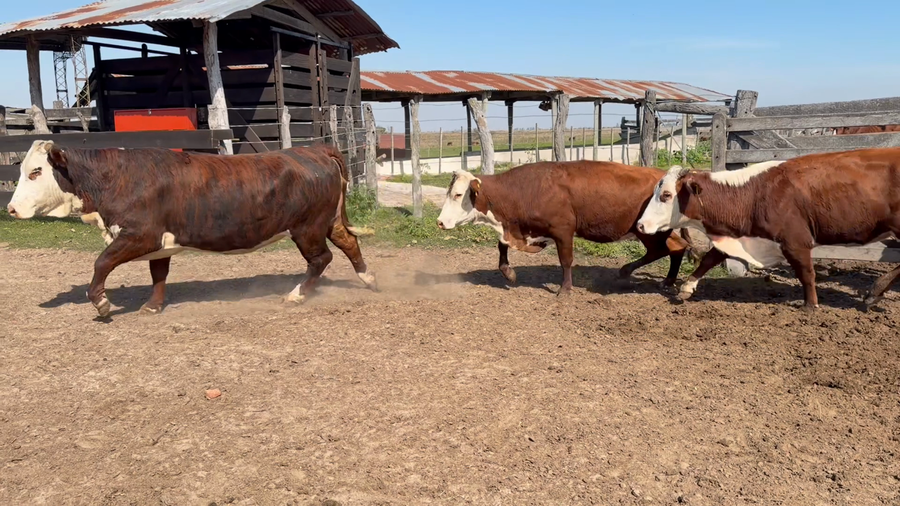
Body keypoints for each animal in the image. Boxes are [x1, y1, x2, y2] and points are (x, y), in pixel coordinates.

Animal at [6, 140, 378, 318]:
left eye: (37, 171)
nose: (11, 209)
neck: (117, 176)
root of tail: (316, 149)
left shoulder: (140, 234)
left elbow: (102, 262)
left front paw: (100, 302)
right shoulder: (160, 242)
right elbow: (158, 274)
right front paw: (153, 306)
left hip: (307, 227)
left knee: (321, 258)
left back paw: (297, 294)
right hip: (326, 221)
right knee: (348, 242)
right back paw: (368, 279)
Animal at [436, 160, 695, 295]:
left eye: (458, 194)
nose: (439, 222)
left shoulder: (563, 230)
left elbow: (566, 260)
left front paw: (565, 289)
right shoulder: (526, 230)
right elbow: (502, 246)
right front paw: (508, 272)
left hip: (648, 231)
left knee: (665, 249)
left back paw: (629, 271)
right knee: (676, 247)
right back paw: (666, 281)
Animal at [635, 150, 900, 311]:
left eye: (666, 195)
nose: (640, 224)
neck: (754, 194)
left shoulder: (796, 241)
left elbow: (806, 273)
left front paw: (810, 305)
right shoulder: (739, 235)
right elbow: (710, 259)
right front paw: (687, 288)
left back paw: (874, 290)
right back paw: (874, 292)